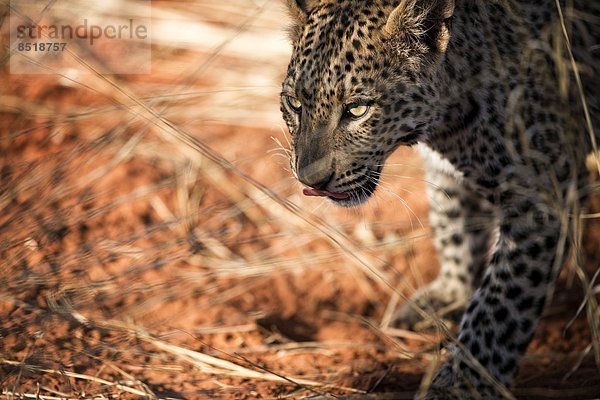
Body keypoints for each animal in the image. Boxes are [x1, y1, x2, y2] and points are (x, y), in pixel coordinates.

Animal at [278, 0, 596, 398]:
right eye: (294, 103)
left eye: (357, 109)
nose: (311, 180)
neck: (449, 122)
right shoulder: (445, 171)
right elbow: (453, 226)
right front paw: (450, 295)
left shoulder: (543, 192)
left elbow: (500, 304)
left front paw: (463, 382)